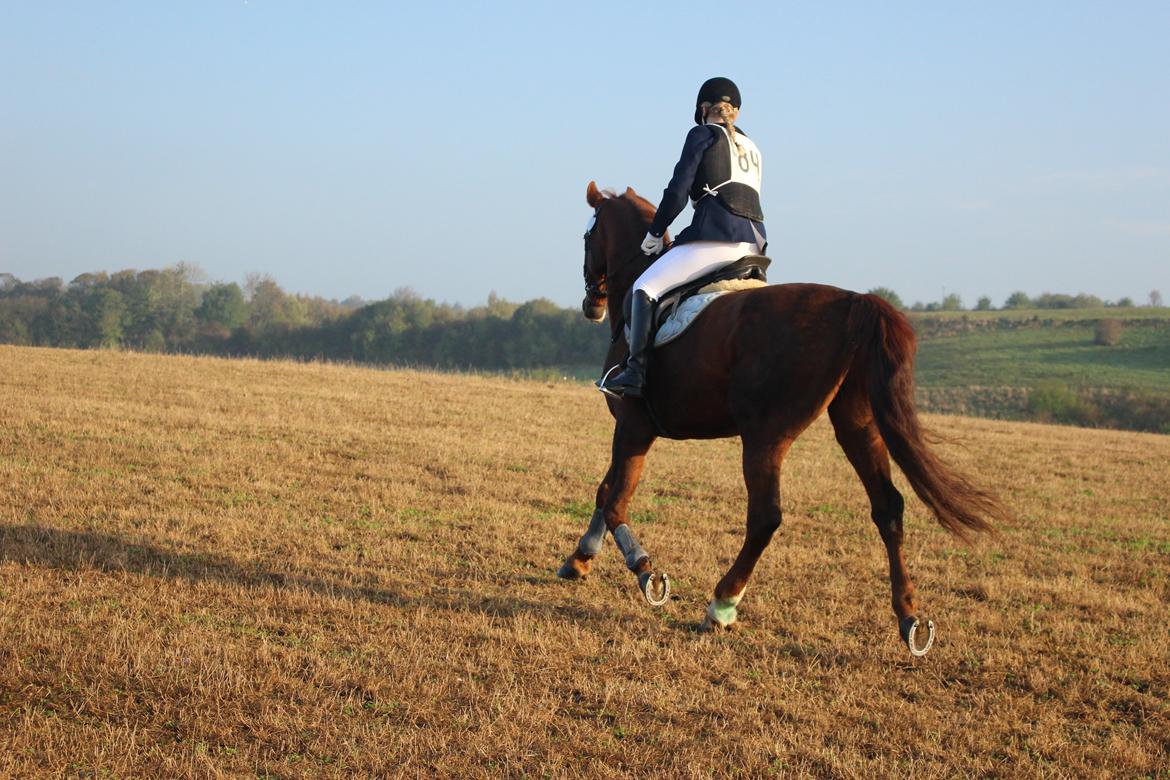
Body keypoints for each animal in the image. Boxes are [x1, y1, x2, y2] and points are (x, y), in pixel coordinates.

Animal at [556, 180, 1006, 654]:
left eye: (587, 236)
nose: (591, 304)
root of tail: (853, 304)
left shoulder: (633, 427)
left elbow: (615, 499)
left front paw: (646, 572)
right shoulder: (633, 430)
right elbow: (606, 492)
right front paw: (579, 559)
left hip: (764, 437)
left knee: (765, 517)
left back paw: (721, 605)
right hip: (856, 425)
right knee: (888, 508)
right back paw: (909, 618)